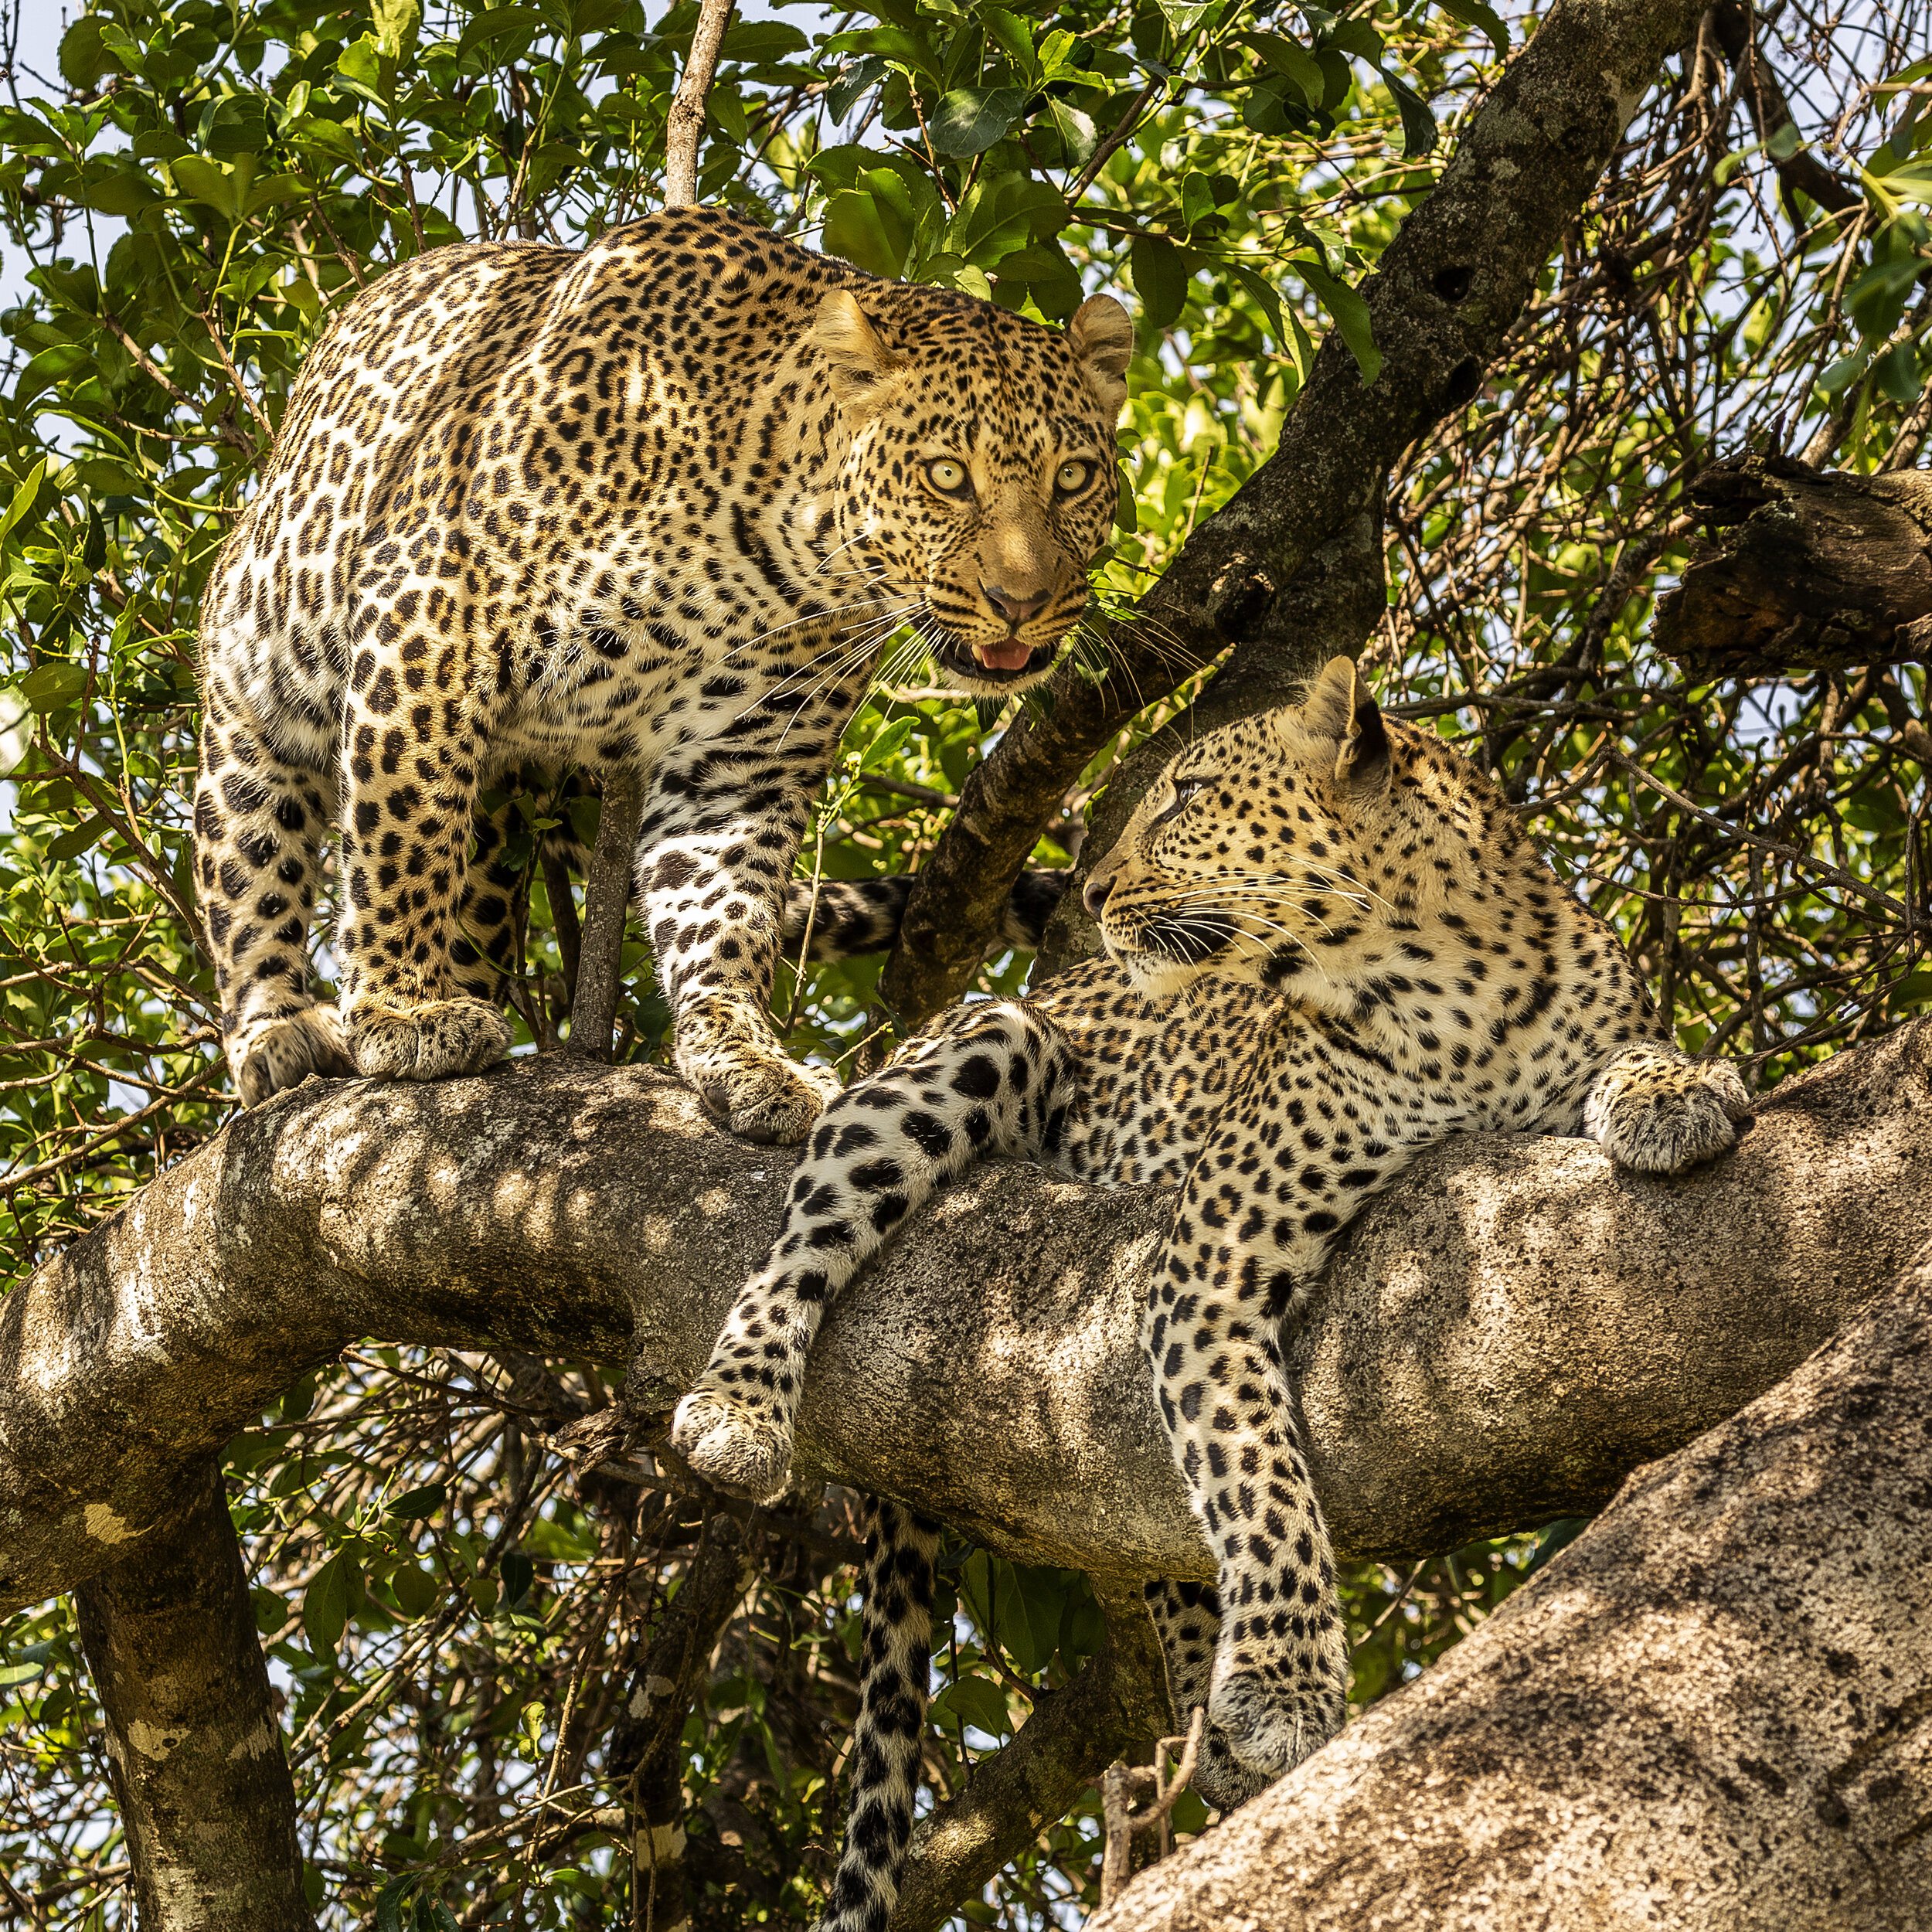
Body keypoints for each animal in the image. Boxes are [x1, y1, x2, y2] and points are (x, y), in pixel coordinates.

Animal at [192, 199, 1128, 1128]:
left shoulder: (744, 755)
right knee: (252, 864)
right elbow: (406, 833)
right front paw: (402, 1008)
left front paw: (745, 1058)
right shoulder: (429, 615)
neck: (775, 547)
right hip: (256, 684)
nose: (1021, 600)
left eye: (1075, 478)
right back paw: (281, 1032)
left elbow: (722, 906)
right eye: (946, 476)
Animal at [672, 657, 1762, 1924]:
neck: (1451, 992)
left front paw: (1673, 1092)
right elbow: (1259, 1476)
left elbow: (1636, 1050)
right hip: (979, 1047)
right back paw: (740, 1406)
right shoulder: (1209, 1269)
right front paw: (1287, 1682)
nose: (1094, 888)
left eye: (1186, 795)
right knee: (808, 1228)